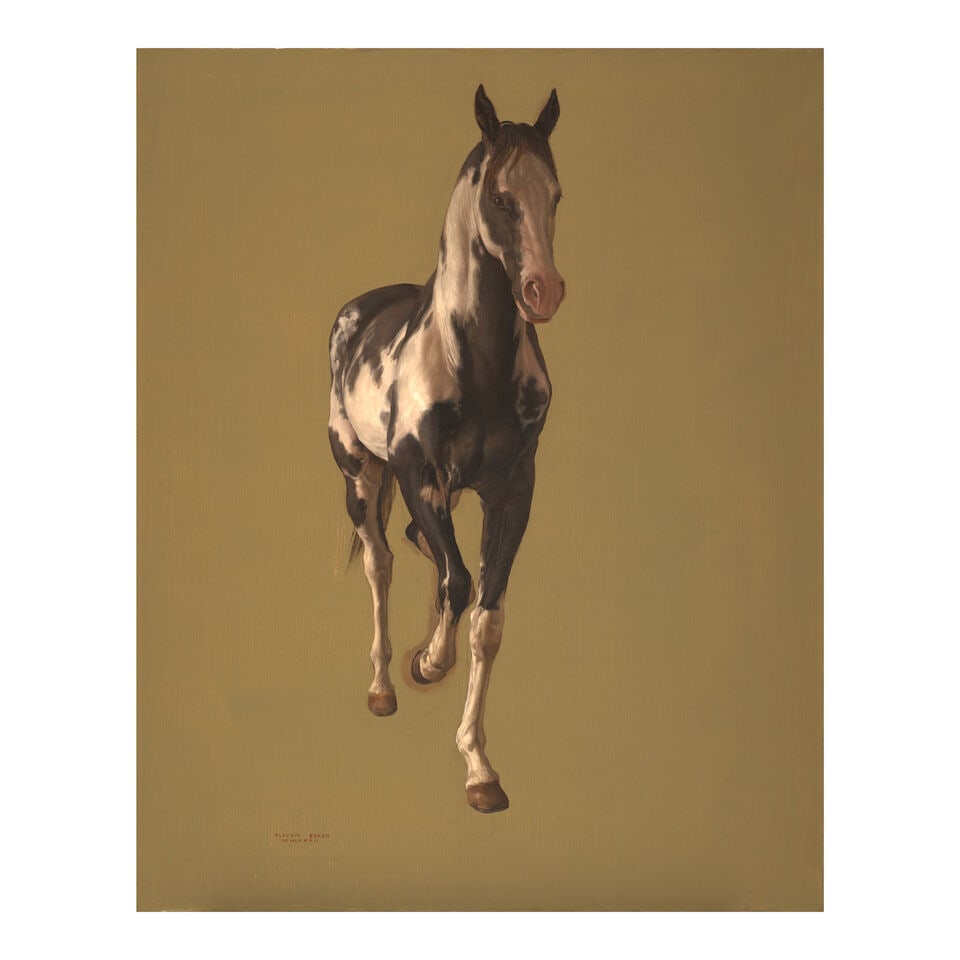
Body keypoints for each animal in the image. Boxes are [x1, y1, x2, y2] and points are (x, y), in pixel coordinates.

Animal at [327, 85, 565, 813]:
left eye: (556, 194)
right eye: (499, 195)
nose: (543, 291)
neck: (475, 367)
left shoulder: (512, 491)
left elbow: (486, 614)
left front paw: (480, 770)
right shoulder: (417, 475)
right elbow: (457, 582)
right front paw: (428, 662)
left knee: (420, 551)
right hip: (360, 476)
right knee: (380, 561)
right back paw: (383, 684)